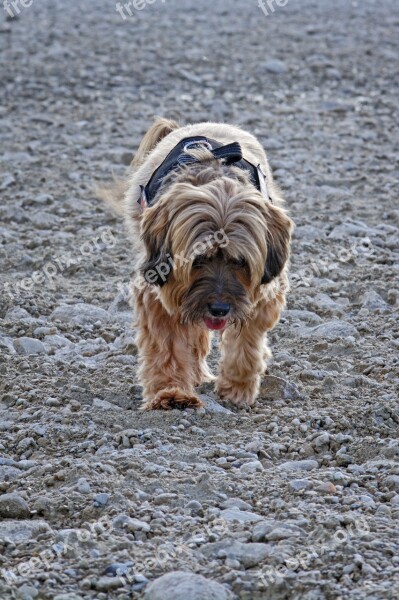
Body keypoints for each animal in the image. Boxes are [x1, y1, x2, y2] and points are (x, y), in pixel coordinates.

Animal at [100, 119, 294, 410]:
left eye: (240, 261)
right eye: (198, 259)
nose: (219, 309)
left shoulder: (263, 295)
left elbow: (246, 342)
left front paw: (237, 388)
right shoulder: (158, 293)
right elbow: (167, 345)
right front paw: (170, 392)